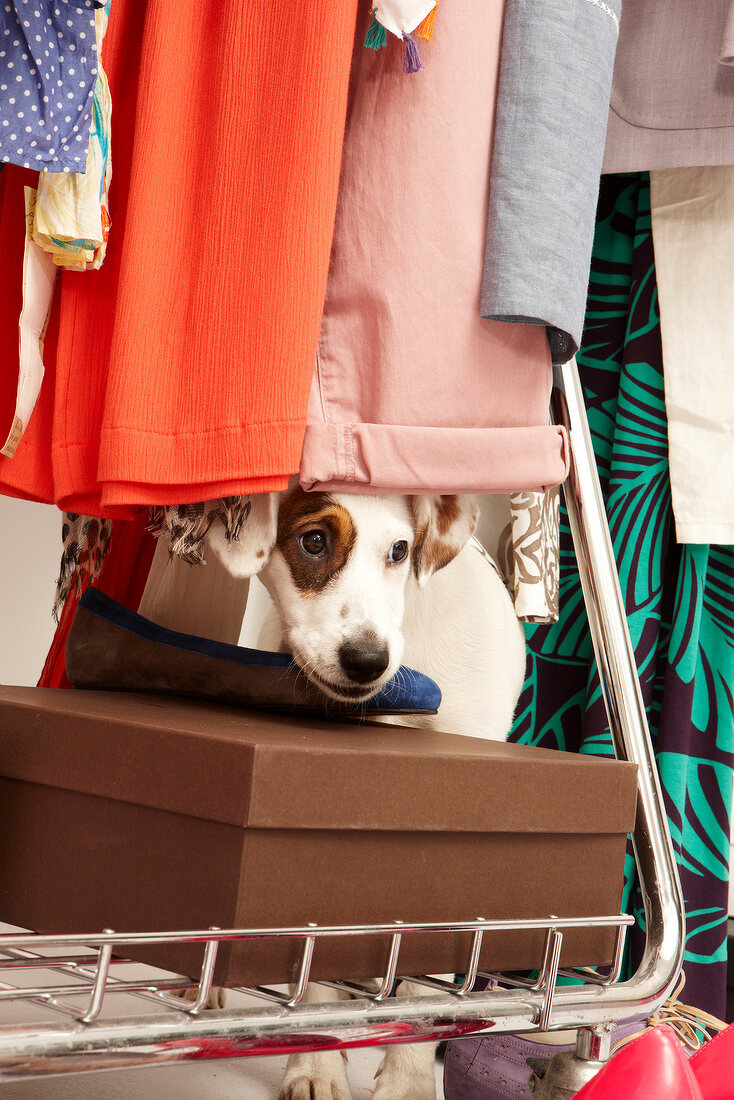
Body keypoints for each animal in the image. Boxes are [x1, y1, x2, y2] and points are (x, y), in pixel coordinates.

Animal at [207, 490, 528, 1100]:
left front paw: (408, 1081)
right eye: (313, 541)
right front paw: (316, 1064)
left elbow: (427, 988)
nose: (366, 660)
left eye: (399, 550)